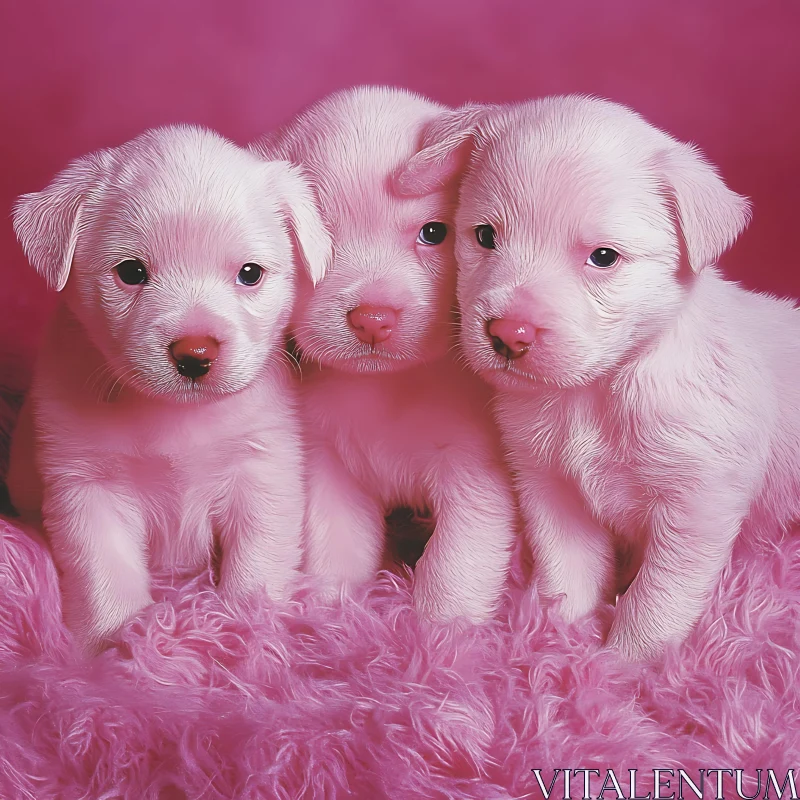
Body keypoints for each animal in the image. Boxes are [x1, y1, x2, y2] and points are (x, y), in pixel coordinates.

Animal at [10, 123, 328, 648]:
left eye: (250, 274)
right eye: (131, 272)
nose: (195, 353)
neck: (172, 414)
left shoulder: (263, 474)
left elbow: (256, 565)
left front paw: (247, 628)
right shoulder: (88, 489)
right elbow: (106, 577)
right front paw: (115, 644)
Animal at [256, 89, 520, 624]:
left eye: (434, 233)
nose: (373, 318)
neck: (388, 386)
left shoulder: (475, 477)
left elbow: (454, 564)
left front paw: (440, 633)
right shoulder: (332, 470)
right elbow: (337, 549)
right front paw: (336, 617)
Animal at [400, 94, 800, 660]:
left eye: (604, 257)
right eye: (485, 236)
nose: (508, 333)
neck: (596, 391)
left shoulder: (696, 507)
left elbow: (656, 598)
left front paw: (627, 662)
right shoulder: (551, 489)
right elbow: (571, 572)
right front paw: (561, 637)